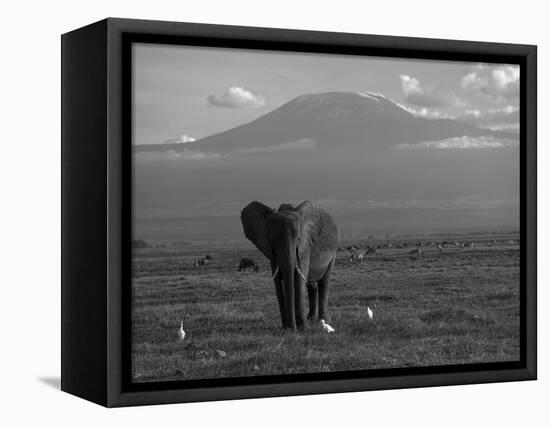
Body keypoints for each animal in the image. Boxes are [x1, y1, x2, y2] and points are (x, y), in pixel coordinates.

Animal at [242, 198, 340, 332]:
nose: (292, 329)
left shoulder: (305, 246)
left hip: (333, 252)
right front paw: (285, 328)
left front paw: (302, 329)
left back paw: (324, 321)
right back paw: (311, 319)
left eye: (298, 239)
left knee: (324, 282)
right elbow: (278, 282)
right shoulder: (272, 253)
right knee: (311, 285)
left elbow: (298, 279)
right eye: (272, 241)